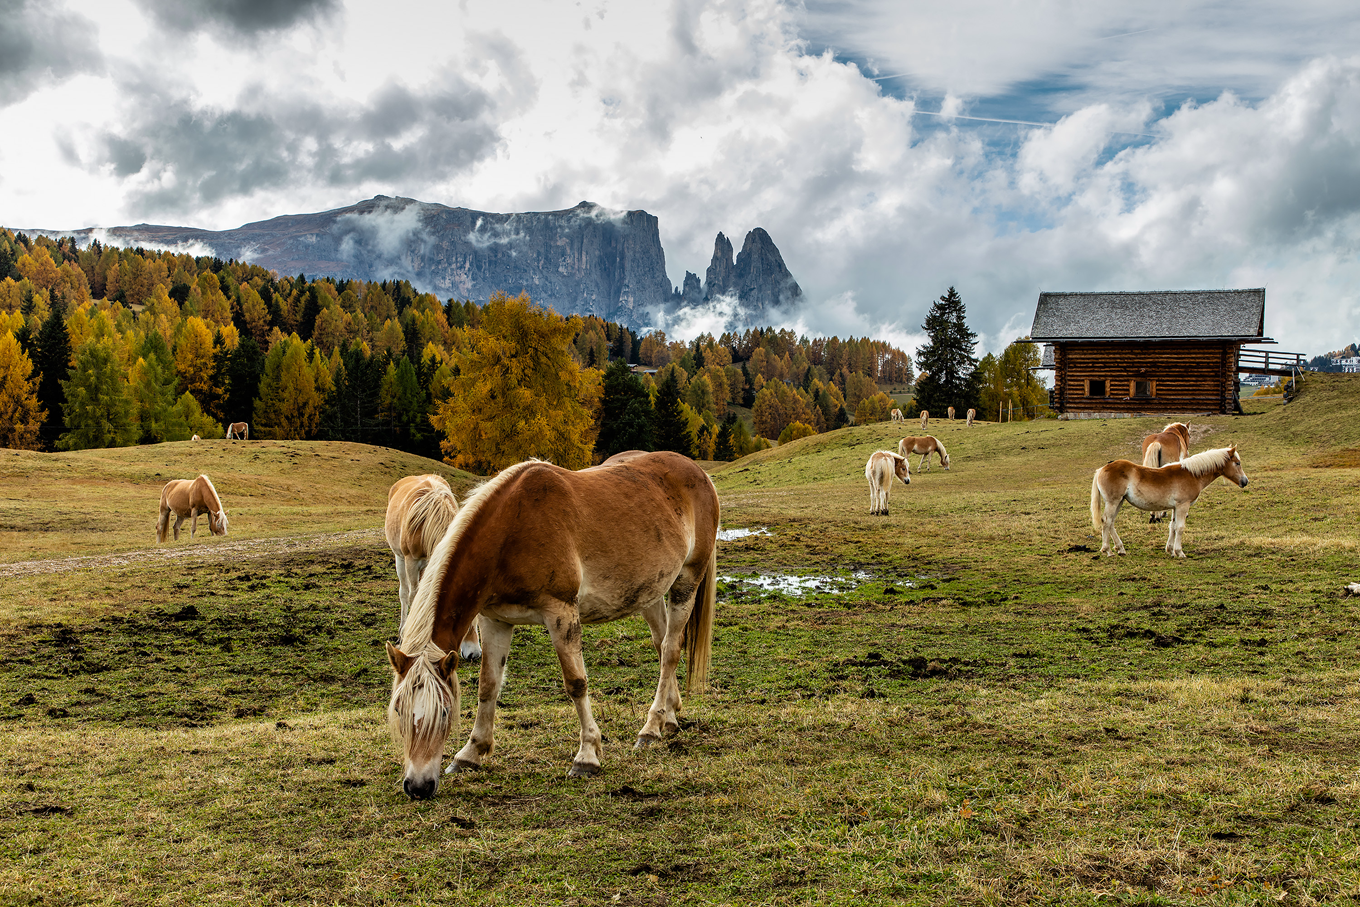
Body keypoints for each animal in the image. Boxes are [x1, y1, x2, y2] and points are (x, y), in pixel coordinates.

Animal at [386, 475, 481, 660]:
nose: (474, 654)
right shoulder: (411, 561)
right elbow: (413, 596)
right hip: (399, 558)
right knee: (404, 592)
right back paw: (402, 632)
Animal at [1088, 443, 1245, 557]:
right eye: (1237, 463)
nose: (1245, 481)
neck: (1191, 474)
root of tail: (1102, 469)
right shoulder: (1183, 505)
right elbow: (1180, 528)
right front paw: (1179, 552)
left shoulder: (1176, 507)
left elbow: (1173, 527)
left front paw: (1170, 550)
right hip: (1113, 502)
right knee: (1106, 521)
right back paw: (1107, 550)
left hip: (1119, 501)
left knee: (1111, 522)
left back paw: (1120, 548)